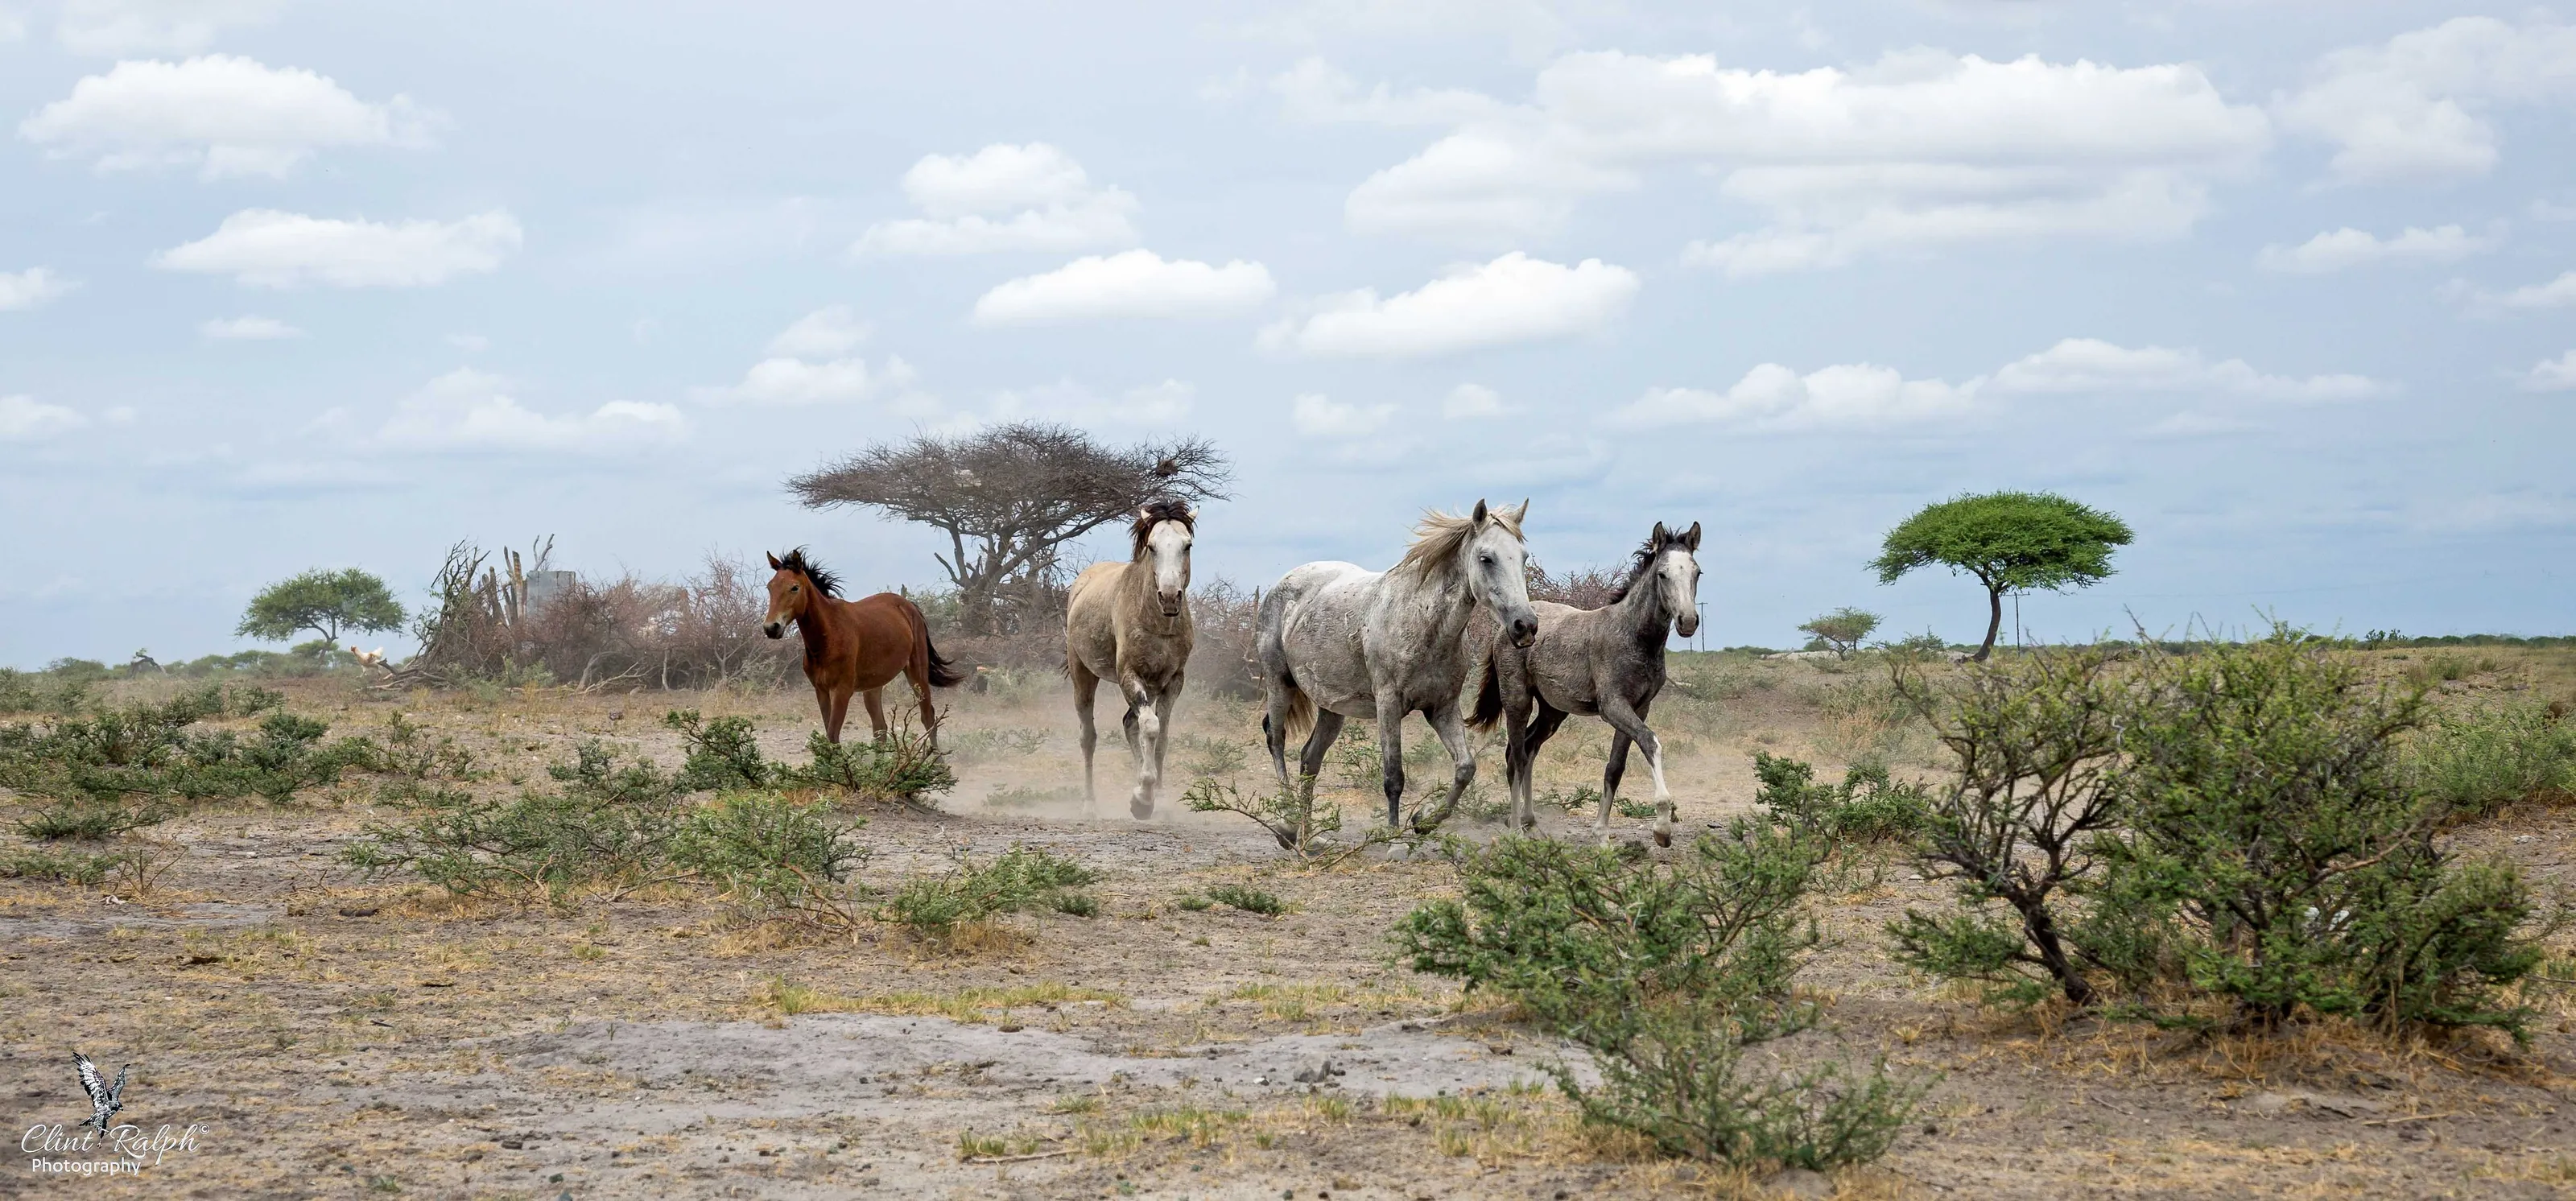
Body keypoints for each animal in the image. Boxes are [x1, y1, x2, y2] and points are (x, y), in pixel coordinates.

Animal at [762, 548, 966, 745]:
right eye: (770, 587)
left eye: (794, 587)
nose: (771, 628)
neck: (828, 637)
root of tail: (909, 606)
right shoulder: (821, 691)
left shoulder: (842, 691)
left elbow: (833, 737)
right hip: (874, 686)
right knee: (880, 728)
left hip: (917, 674)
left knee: (928, 717)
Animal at [1065, 500, 1196, 819]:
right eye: (1151, 546)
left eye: (1187, 545)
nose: (1170, 597)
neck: (1159, 625)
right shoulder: (1130, 676)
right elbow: (1150, 726)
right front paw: (1142, 799)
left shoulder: (1172, 681)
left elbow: (1161, 736)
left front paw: (1156, 797)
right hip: (1083, 676)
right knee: (1089, 738)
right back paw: (1089, 805)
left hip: (1151, 685)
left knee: (1129, 724)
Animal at [1257, 500, 1540, 836]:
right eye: (1486, 558)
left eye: (1523, 557)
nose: (1525, 626)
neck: (1422, 623)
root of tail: (1281, 586)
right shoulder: (1388, 705)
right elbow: (1394, 777)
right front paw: (1394, 837)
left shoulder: (1442, 708)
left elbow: (1465, 767)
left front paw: (1425, 819)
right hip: (1279, 683)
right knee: (1276, 738)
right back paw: (1287, 824)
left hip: (1332, 708)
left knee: (1309, 760)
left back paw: (1308, 836)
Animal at [1470, 520, 1702, 844]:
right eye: (1662, 574)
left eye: (1697, 572)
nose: (1688, 621)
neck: (1634, 636)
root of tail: (1509, 627)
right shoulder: (1613, 706)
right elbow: (1650, 742)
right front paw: (1661, 829)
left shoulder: (1639, 708)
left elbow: (1615, 767)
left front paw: (1602, 834)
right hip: (1517, 700)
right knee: (1515, 756)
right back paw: (1516, 828)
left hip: (1552, 712)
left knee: (1529, 750)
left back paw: (1531, 822)